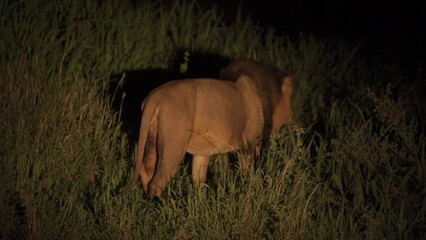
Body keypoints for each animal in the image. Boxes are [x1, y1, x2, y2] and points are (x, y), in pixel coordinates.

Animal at [125, 61, 292, 196]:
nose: (289, 118)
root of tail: (155, 98)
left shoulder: (204, 152)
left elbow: (200, 178)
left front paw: (200, 201)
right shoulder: (250, 144)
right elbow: (247, 172)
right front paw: (248, 190)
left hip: (152, 138)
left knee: (146, 170)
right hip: (173, 146)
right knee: (158, 180)